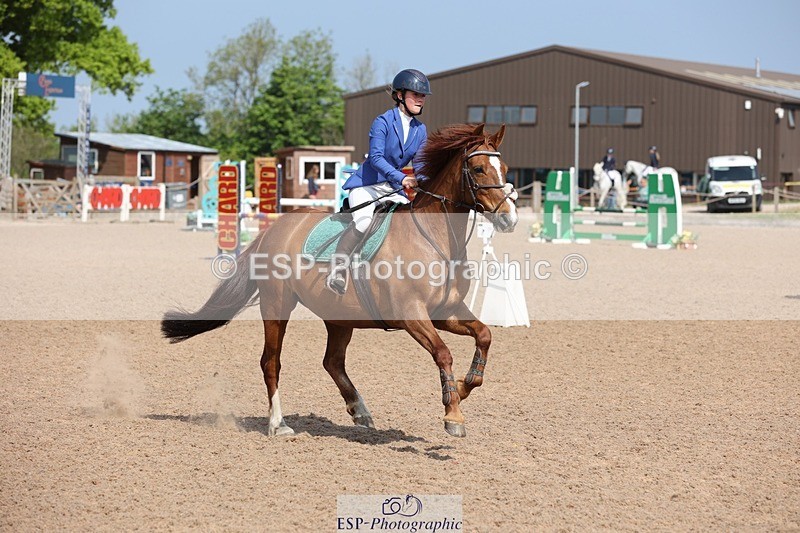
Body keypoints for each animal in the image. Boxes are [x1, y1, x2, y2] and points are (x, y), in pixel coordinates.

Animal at [161, 123, 519, 438]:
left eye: (505, 168)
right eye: (478, 169)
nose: (509, 219)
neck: (434, 239)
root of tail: (273, 231)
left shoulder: (445, 312)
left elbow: (484, 335)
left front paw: (462, 386)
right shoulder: (412, 315)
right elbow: (443, 353)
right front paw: (452, 414)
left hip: (339, 316)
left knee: (332, 361)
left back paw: (360, 411)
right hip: (277, 305)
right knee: (271, 362)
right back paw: (279, 424)